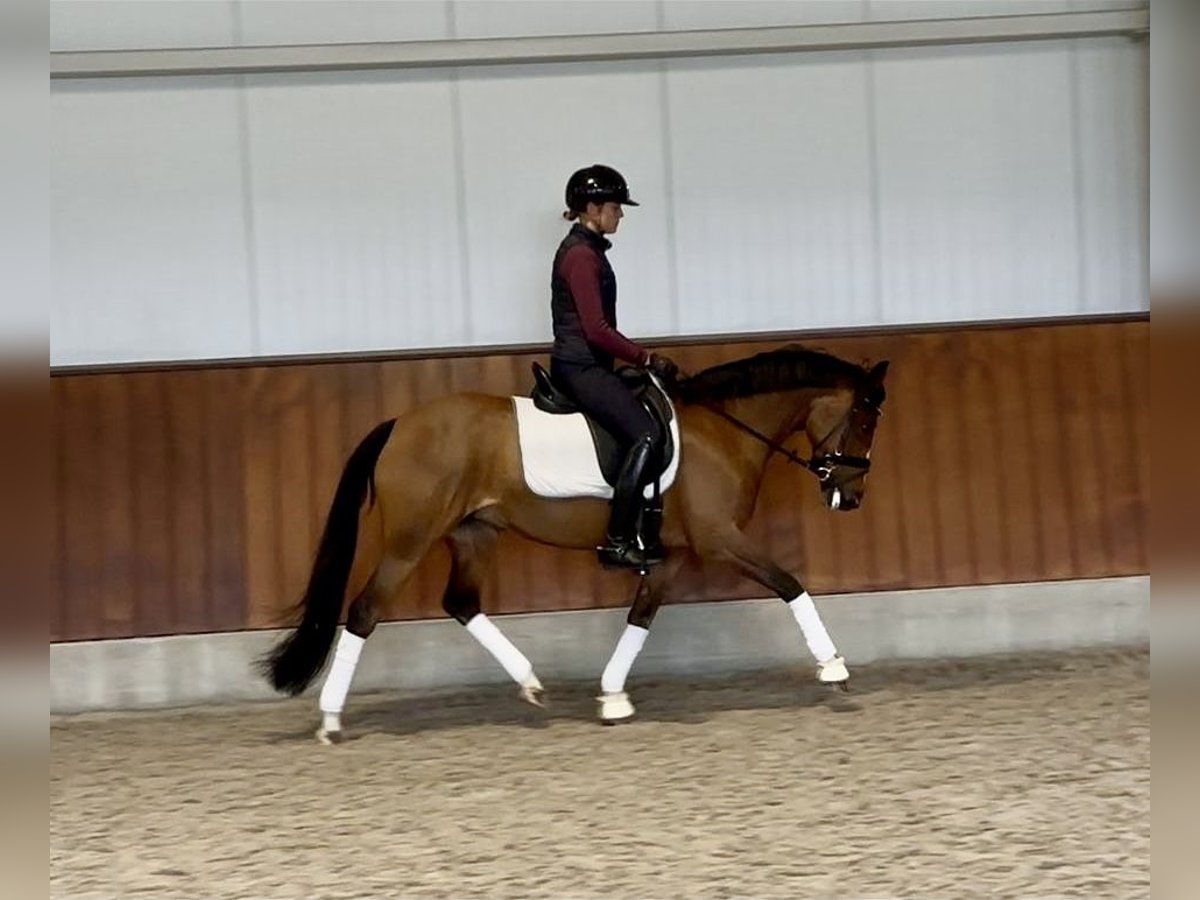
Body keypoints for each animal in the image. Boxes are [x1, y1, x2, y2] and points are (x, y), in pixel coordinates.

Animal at [258, 340, 888, 744]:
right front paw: (833, 668)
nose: (852, 497)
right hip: (411, 542)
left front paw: (612, 696)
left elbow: (642, 614)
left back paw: (531, 683)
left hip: (474, 533)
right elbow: (790, 583)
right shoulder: (719, 540)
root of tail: (400, 424)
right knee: (366, 611)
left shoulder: (671, 555)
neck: (723, 430)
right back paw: (332, 720)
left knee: (461, 602)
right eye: (864, 418)